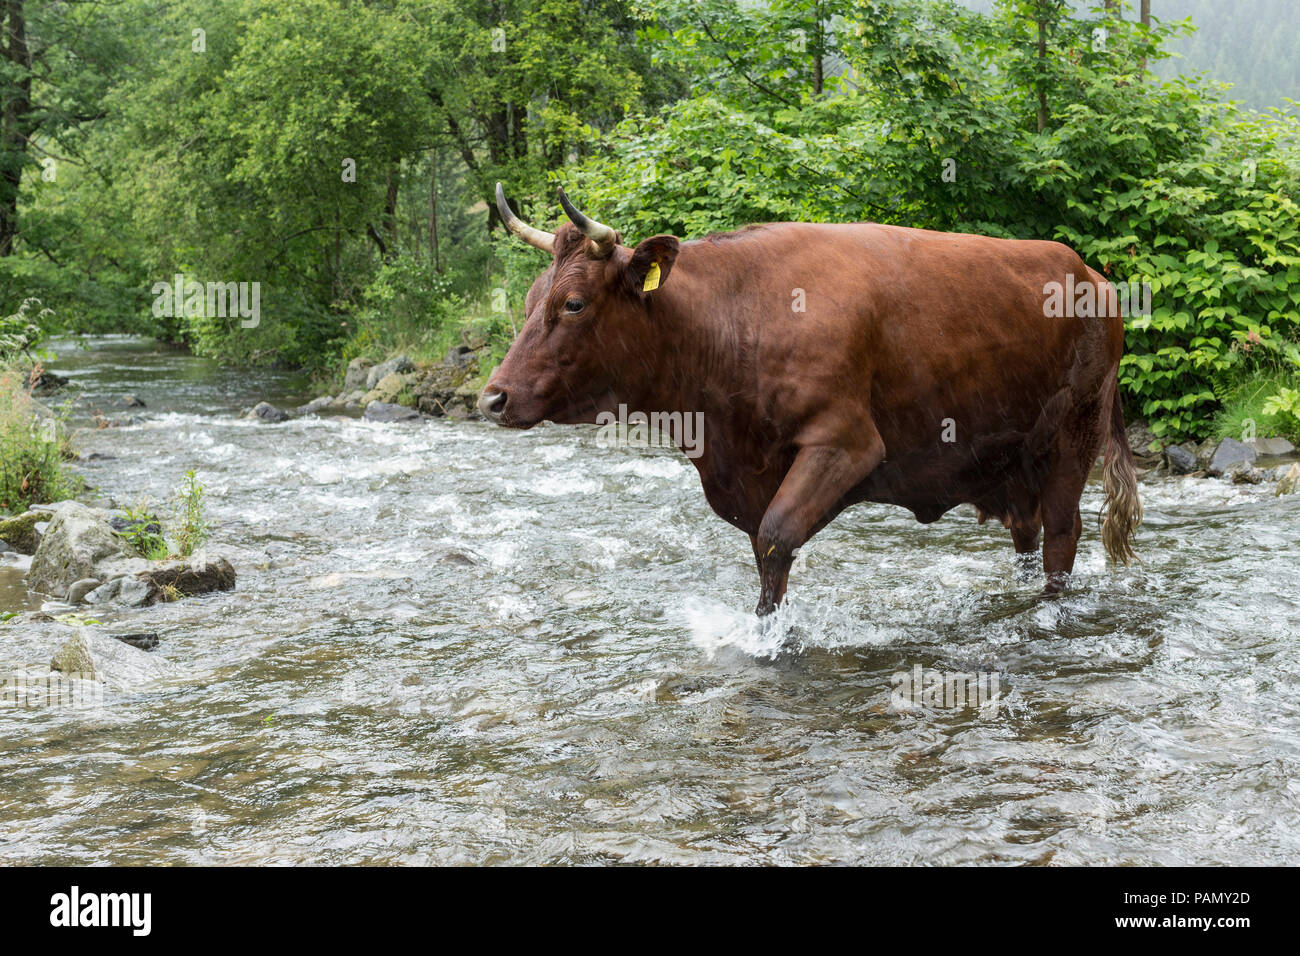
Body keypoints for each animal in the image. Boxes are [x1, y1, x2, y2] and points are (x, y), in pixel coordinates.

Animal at [478, 184, 1138, 616]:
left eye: (573, 303)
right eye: (532, 296)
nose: (492, 398)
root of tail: (1093, 275)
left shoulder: (846, 442)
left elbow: (775, 537)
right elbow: (766, 554)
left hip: (1075, 433)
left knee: (1061, 534)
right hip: (1011, 461)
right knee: (1026, 531)